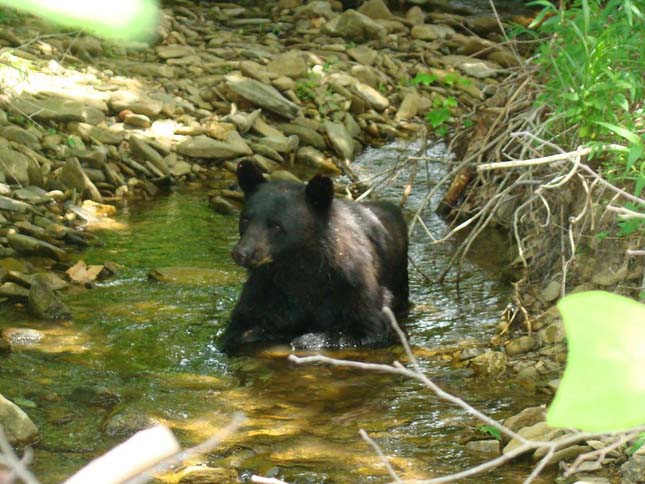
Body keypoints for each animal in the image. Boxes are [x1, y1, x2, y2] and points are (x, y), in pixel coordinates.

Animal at [220, 161, 408, 350]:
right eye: (245, 219)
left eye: (276, 225)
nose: (241, 252)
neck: (298, 263)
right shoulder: (266, 286)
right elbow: (242, 322)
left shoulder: (353, 283)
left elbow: (368, 326)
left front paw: (306, 339)